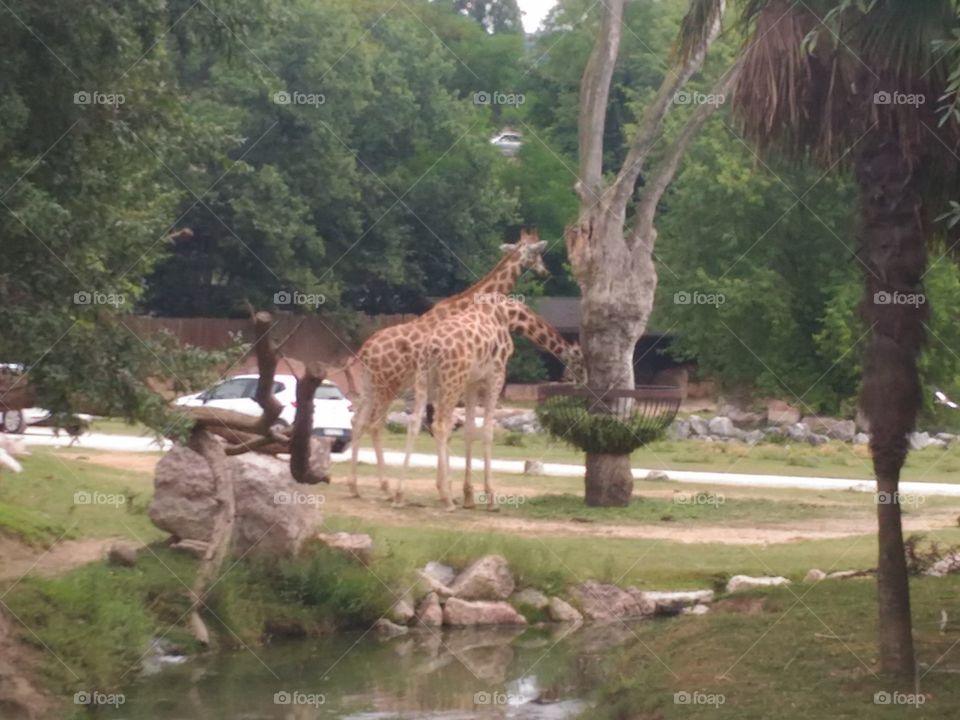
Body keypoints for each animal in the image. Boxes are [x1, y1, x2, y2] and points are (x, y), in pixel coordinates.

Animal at [347, 231, 548, 498]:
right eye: (537, 253)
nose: (544, 271)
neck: (467, 303)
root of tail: (365, 350)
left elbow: (440, 426)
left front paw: (445, 486)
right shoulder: (453, 381)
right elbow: (447, 426)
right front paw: (449, 488)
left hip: (370, 386)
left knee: (358, 422)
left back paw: (356, 486)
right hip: (389, 385)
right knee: (375, 424)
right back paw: (386, 486)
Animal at [400, 302, 587, 481]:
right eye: (579, 358)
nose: (582, 380)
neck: (510, 315)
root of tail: (432, 348)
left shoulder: (472, 380)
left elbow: (470, 428)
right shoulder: (495, 373)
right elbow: (484, 429)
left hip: (428, 380)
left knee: (419, 421)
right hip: (451, 382)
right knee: (440, 424)